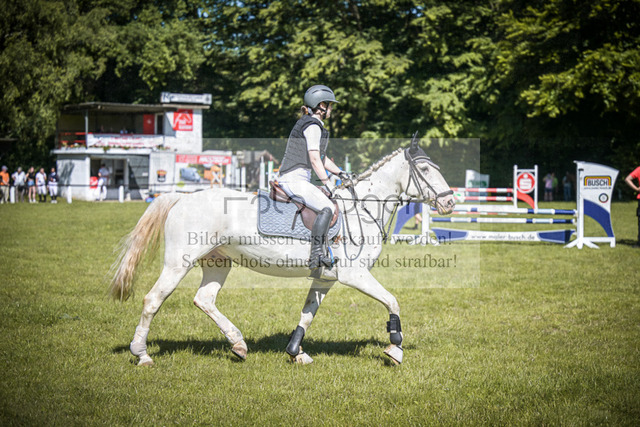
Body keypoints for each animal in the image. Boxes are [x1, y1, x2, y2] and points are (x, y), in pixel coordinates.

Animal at [110, 139, 455, 366]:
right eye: (425, 169)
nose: (450, 202)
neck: (362, 208)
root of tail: (182, 197)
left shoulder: (325, 279)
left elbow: (306, 315)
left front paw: (295, 352)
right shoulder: (355, 275)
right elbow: (392, 301)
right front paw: (395, 349)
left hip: (218, 262)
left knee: (204, 299)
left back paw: (238, 344)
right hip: (177, 264)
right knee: (153, 300)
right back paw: (141, 354)